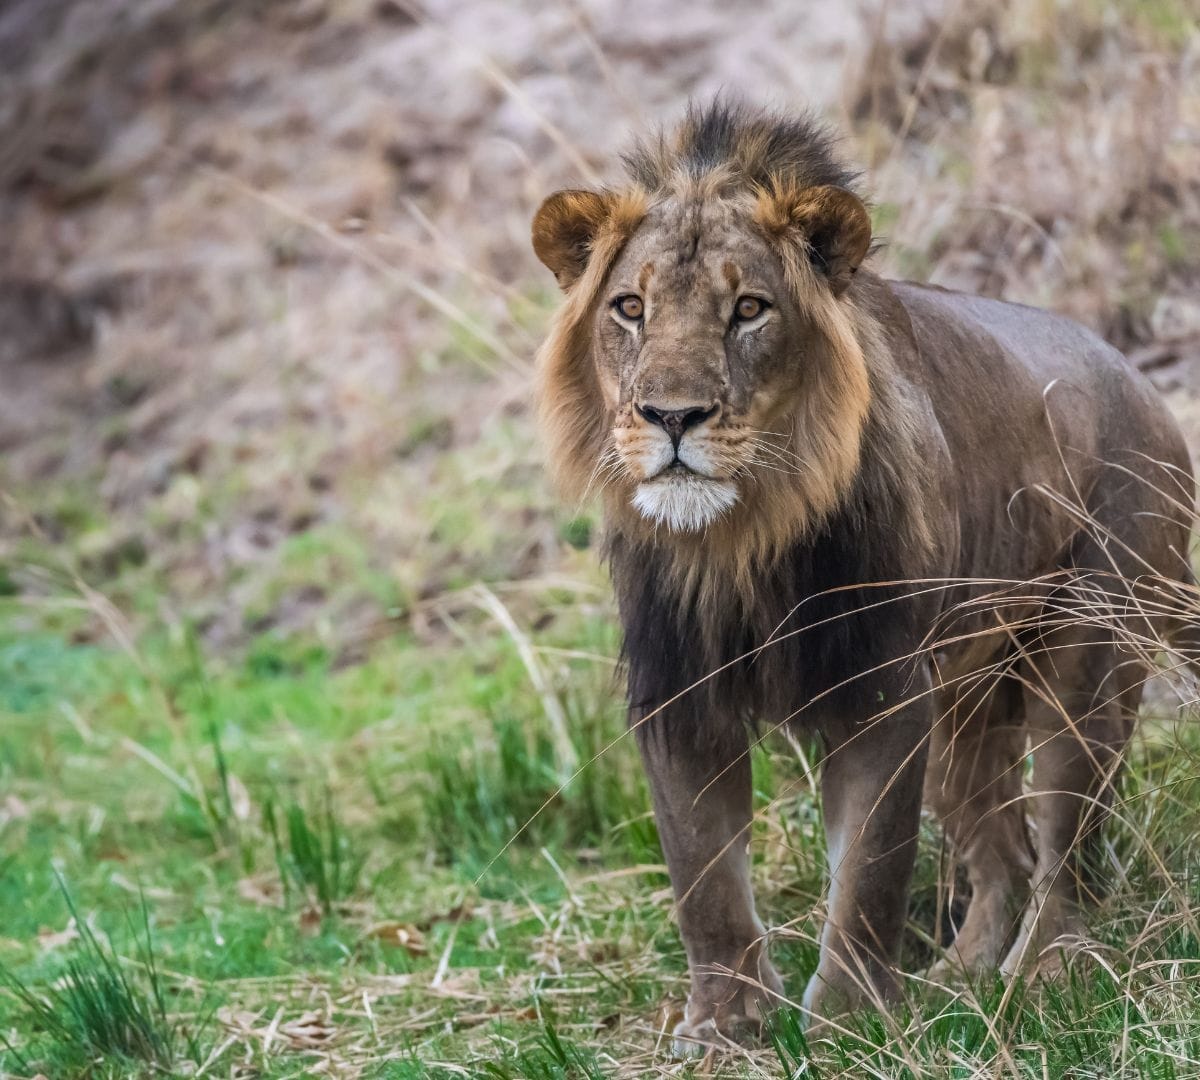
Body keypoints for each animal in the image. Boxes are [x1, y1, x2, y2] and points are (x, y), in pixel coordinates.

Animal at [530, 100, 1196, 1054]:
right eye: (630, 308)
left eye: (748, 309)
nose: (671, 416)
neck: (740, 542)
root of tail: (1152, 392)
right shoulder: (677, 693)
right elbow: (703, 879)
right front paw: (725, 1026)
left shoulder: (880, 687)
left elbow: (871, 871)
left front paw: (851, 1018)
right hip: (964, 702)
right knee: (1002, 855)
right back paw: (962, 980)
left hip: (1088, 654)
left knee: (1065, 848)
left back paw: (1042, 975)